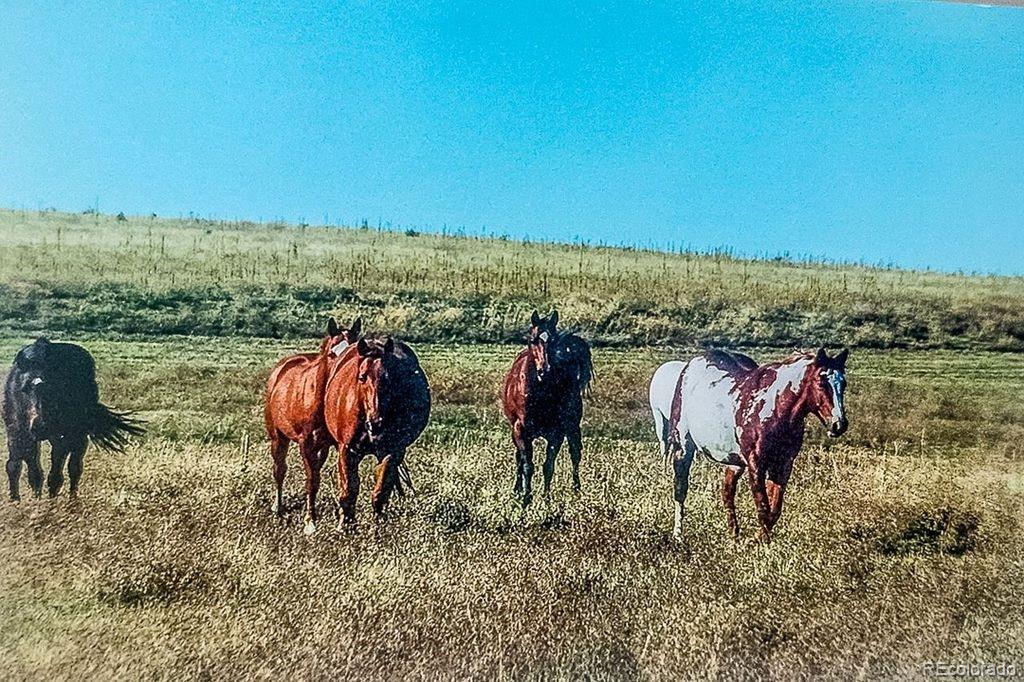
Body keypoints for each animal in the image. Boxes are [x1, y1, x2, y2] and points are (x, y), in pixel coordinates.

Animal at [2, 337, 143, 497]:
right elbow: (25, 470)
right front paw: (22, 499)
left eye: (54, 388)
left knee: (74, 468)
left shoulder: (62, 438)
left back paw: (72, 498)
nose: (41, 426)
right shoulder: (19, 434)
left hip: (79, 437)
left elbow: (55, 474)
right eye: (24, 388)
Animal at [264, 315, 360, 532]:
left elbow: (342, 480)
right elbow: (311, 481)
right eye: (333, 353)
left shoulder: (336, 445)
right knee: (279, 470)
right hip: (278, 438)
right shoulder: (306, 444)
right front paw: (310, 522)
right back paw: (278, 508)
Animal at [323, 333, 428, 520]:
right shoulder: (347, 450)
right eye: (362, 377)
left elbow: (380, 492)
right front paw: (346, 523)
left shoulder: (392, 451)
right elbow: (349, 493)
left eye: (389, 378)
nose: (376, 422)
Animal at [501, 311, 593, 501]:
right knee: (519, 458)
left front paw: (546, 498)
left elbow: (548, 466)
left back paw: (576, 490)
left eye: (553, 340)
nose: (545, 370)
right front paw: (525, 497)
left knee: (575, 454)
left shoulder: (556, 433)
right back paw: (517, 490)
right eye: (533, 339)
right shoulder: (520, 430)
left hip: (573, 426)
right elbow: (527, 464)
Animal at [647, 348, 847, 540]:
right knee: (680, 490)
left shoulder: (783, 465)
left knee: (727, 492)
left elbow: (774, 510)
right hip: (683, 448)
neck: (775, 407)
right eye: (821, 383)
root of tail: (690, 366)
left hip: (734, 462)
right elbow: (763, 508)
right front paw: (762, 543)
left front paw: (758, 539)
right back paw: (678, 535)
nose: (839, 424)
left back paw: (734, 535)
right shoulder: (756, 464)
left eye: (843, 384)